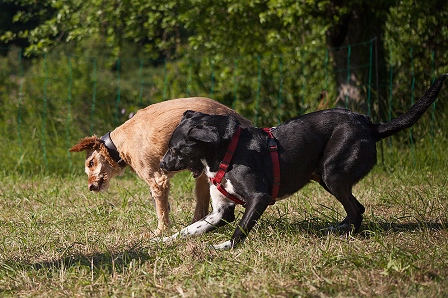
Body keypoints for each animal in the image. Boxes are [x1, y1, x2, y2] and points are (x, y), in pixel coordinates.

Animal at [71, 98, 250, 237]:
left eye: (91, 163)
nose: (90, 186)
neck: (119, 145)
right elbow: (164, 208)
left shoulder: (158, 181)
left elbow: (161, 211)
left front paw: (160, 232)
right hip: (202, 179)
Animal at [159, 74, 446, 249]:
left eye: (175, 149)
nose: (161, 164)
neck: (227, 151)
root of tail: (372, 125)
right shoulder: (221, 212)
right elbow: (188, 229)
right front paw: (161, 241)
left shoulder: (259, 198)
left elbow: (241, 228)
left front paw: (226, 247)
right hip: (326, 177)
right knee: (358, 208)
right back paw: (337, 228)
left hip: (333, 173)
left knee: (356, 210)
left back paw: (344, 234)